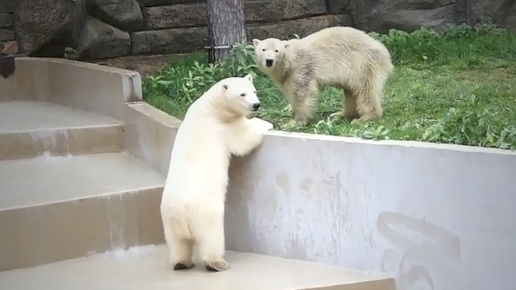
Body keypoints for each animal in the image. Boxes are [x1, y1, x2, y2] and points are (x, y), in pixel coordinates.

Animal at [160, 72, 274, 272]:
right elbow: (243, 140)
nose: (256, 105)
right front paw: (266, 123)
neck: (211, 106)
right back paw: (218, 263)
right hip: (207, 214)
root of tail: (182, 214)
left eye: (254, 91)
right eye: (242, 94)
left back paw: (182, 263)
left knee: (178, 243)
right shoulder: (224, 126)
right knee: (212, 238)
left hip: (169, 221)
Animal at [252, 27, 394, 125]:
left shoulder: (302, 69)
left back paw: (364, 118)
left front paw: (295, 122)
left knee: (365, 90)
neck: (290, 60)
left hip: (362, 63)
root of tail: (384, 51)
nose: (269, 61)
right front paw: (291, 113)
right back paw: (340, 114)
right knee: (350, 91)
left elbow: (303, 94)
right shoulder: (286, 76)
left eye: (277, 50)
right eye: (263, 49)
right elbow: (290, 93)